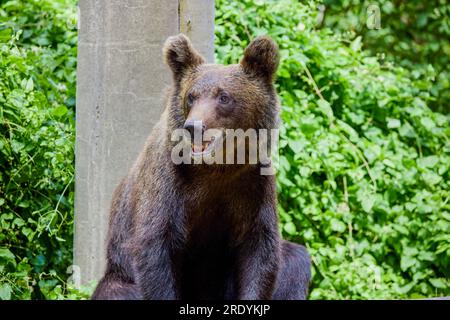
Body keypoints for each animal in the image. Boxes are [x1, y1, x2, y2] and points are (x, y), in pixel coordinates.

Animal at [91, 33, 310, 298]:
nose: (193, 127)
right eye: (191, 96)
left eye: (223, 96)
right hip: (120, 273)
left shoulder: (251, 186)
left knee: (295, 259)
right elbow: (156, 248)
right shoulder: (167, 185)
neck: (215, 169)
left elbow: (259, 250)